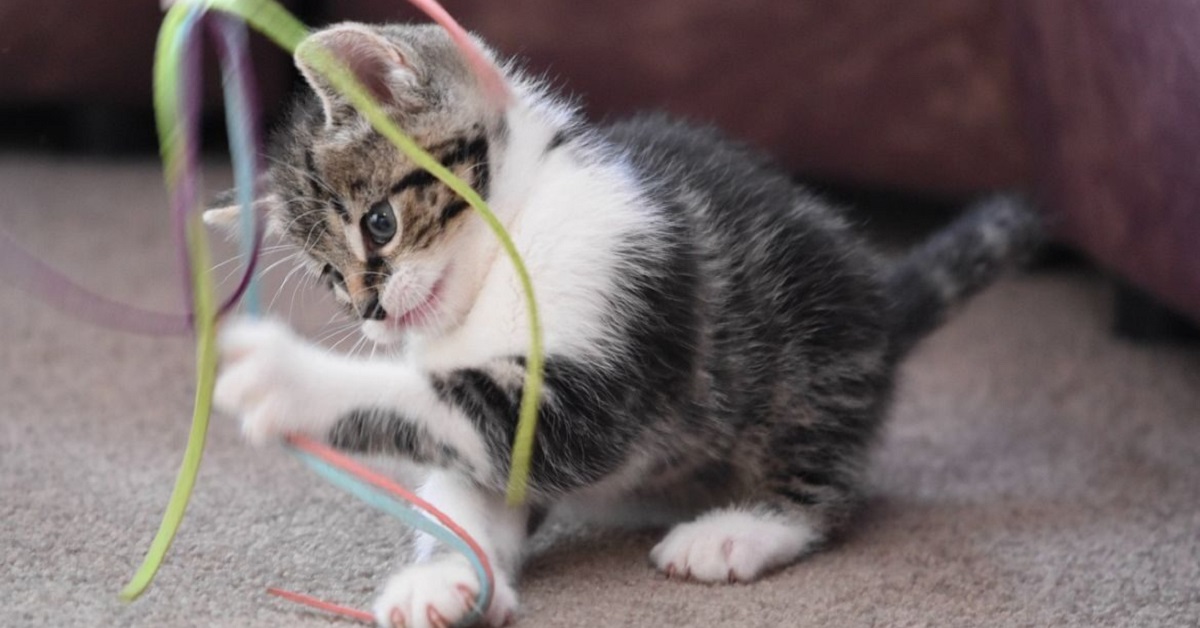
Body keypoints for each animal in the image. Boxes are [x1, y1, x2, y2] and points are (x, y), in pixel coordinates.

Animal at [204, 22, 1041, 624]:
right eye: (328, 279)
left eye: (379, 223)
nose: (371, 312)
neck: (507, 255)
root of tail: (882, 303)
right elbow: (465, 477)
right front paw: (443, 577)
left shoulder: (609, 335)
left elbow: (443, 403)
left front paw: (285, 376)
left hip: (808, 359)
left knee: (824, 485)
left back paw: (739, 529)